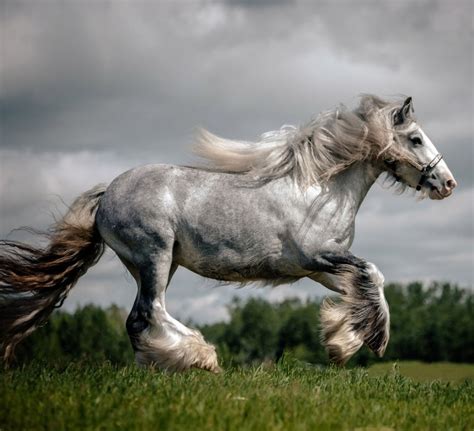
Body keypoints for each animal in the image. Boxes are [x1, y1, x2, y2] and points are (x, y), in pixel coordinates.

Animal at [0, 94, 456, 372]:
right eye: (415, 138)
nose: (449, 184)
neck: (320, 189)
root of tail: (108, 191)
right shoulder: (318, 256)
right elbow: (373, 273)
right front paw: (372, 341)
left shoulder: (317, 267)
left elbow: (359, 286)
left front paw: (342, 343)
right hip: (154, 255)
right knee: (150, 310)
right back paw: (202, 359)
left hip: (154, 263)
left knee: (136, 318)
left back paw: (158, 366)